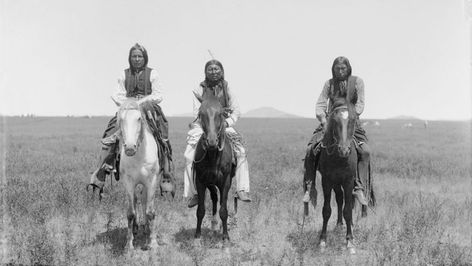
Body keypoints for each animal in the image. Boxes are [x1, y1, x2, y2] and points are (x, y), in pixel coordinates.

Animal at [116, 100, 161, 251]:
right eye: (121, 119)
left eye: (139, 118)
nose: (130, 147)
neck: (139, 157)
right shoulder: (128, 182)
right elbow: (130, 213)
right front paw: (129, 244)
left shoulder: (151, 181)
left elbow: (150, 211)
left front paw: (152, 243)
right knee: (137, 200)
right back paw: (136, 229)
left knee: (144, 201)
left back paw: (147, 231)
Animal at [193, 92, 235, 240]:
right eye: (200, 113)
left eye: (221, 113)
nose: (211, 141)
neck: (213, 156)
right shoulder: (200, 181)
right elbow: (200, 210)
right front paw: (197, 234)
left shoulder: (226, 181)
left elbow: (224, 210)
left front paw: (226, 236)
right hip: (211, 183)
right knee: (215, 197)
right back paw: (213, 226)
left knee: (221, 199)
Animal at [318, 98, 358, 255]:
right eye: (334, 120)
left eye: (353, 120)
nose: (344, 150)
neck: (338, 158)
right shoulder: (327, 181)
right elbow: (326, 210)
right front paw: (322, 240)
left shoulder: (348, 181)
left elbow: (348, 210)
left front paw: (350, 242)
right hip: (335, 183)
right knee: (340, 199)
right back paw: (339, 224)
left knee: (348, 201)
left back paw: (350, 225)